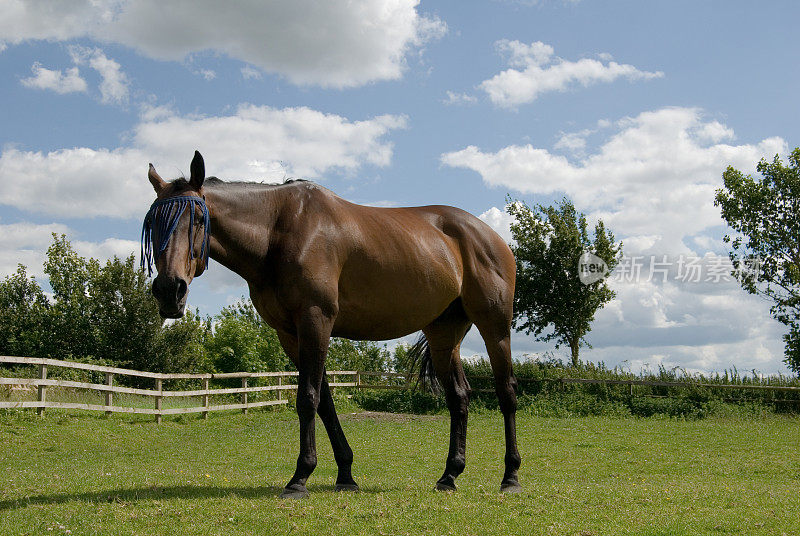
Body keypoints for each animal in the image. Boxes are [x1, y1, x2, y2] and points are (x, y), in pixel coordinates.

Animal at [142, 151, 520, 498]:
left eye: (197, 219)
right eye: (153, 224)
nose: (169, 290)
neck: (279, 230)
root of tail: (491, 237)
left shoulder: (315, 320)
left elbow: (307, 398)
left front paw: (299, 478)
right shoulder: (290, 334)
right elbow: (324, 401)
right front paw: (345, 475)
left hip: (495, 327)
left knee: (507, 393)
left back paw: (511, 477)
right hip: (444, 335)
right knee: (459, 397)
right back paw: (449, 475)